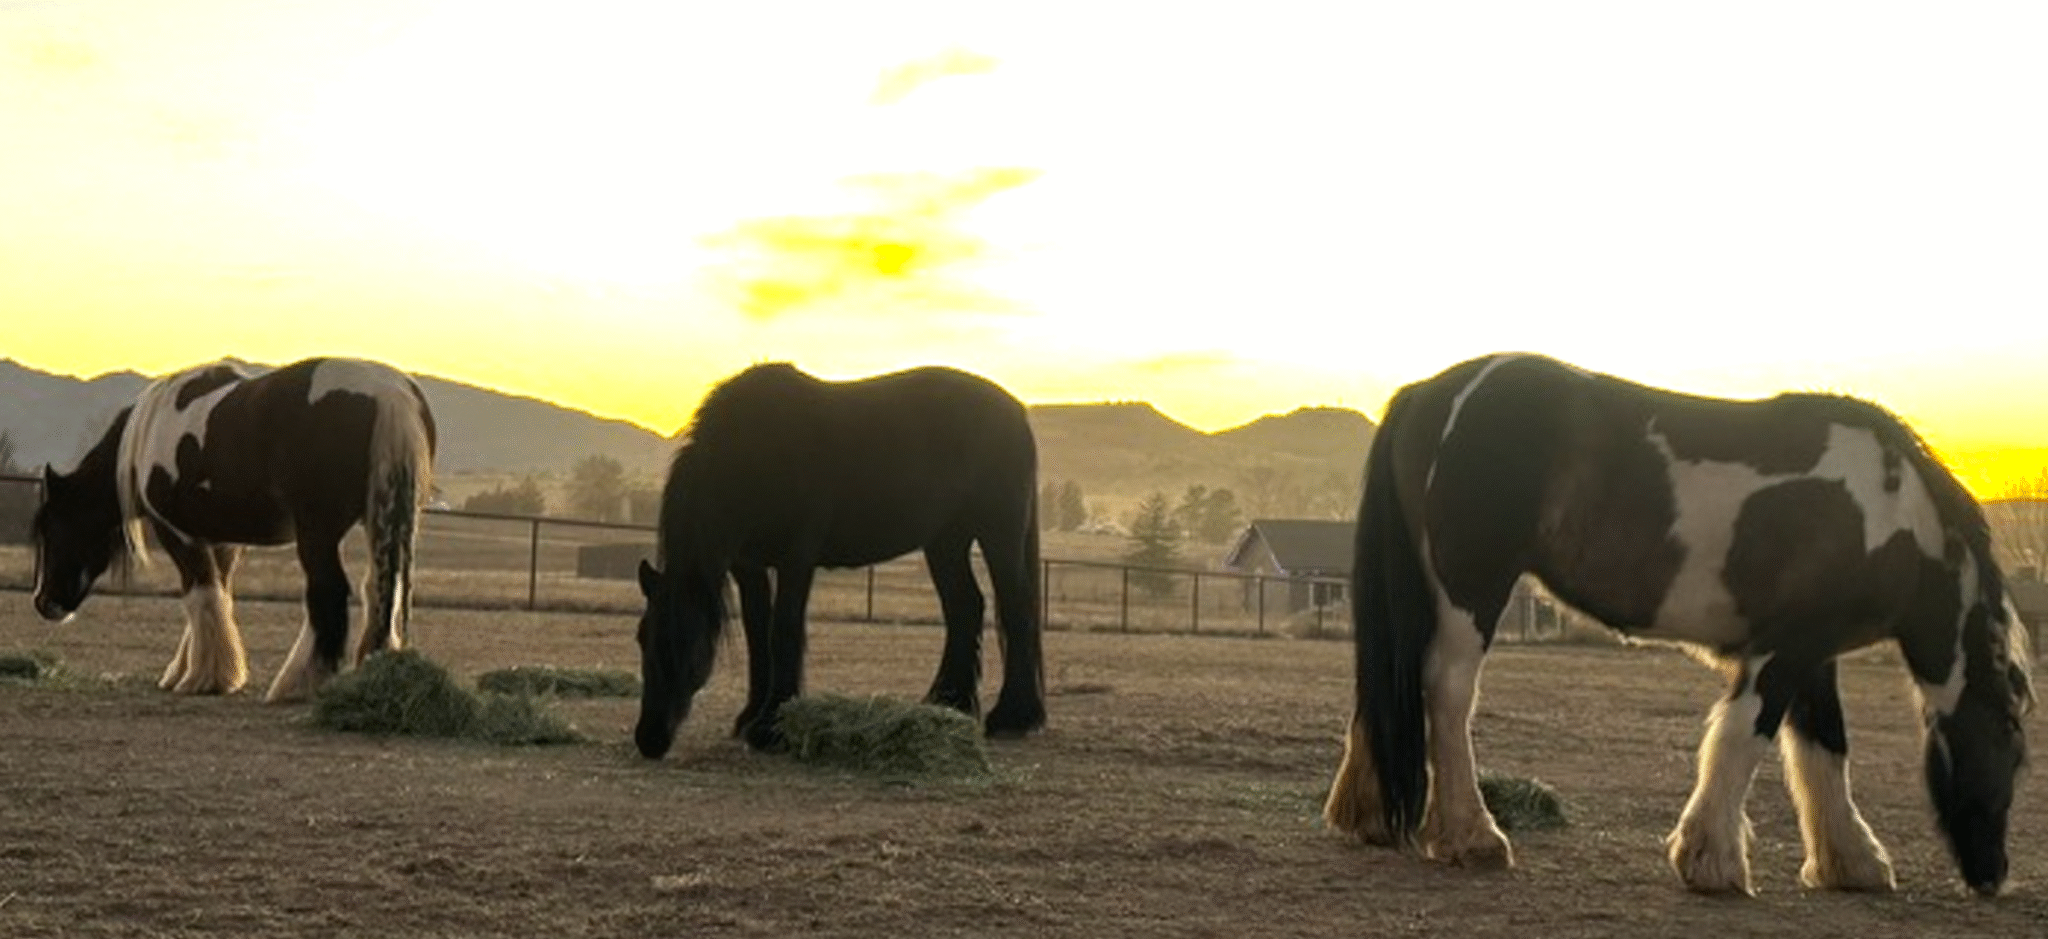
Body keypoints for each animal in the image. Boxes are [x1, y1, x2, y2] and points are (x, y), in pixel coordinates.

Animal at [32, 357, 437, 703]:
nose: (44, 603)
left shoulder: (177, 534)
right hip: (380, 518)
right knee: (380, 589)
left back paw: (295, 685)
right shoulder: (224, 540)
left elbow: (199, 595)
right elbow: (218, 596)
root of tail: (389, 394)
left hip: (317, 533)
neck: (145, 433)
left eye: (54, 527)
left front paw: (202, 678)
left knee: (329, 593)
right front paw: (191, 671)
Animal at [633, 362, 1046, 759]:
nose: (649, 739)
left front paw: (770, 726)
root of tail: (1015, 411)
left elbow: (782, 630)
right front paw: (751, 715)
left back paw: (1011, 718)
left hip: (998, 532)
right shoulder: (748, 566)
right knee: (965, 608)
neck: (758, 451)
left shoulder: (796, 558)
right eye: (642, 637)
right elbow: (757, 634)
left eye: (686, 645)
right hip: (945, 541)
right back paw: (948, 703)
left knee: (1016, 609)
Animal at [1323, 353, 2032, 897]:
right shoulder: (1783, 651)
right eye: (2013, 752)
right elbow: (1743, 739)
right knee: (1446, 693)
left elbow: (1823, 749)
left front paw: (1850, 862)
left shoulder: (1812, 653)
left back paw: (1370, 817)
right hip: (1470, 592)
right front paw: (1712, 860)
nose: (1992, 874)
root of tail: (1431, 393)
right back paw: (1473, 837)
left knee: (1389, 685)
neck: (1888, 513)